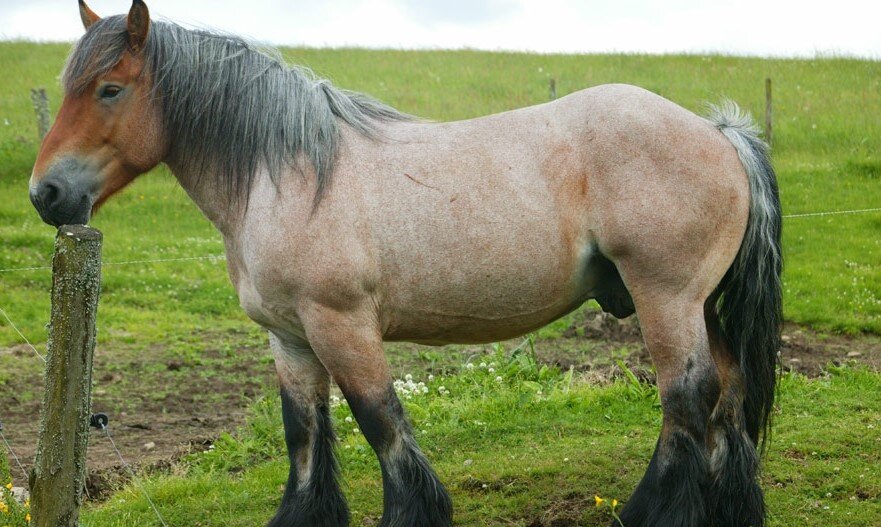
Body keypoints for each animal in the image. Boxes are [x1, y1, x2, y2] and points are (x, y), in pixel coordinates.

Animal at [29, 2, 784, 524]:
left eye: (109, 89)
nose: (46, 193)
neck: (291, 175)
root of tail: (722, 134)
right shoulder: (289, 337)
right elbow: (304, 431)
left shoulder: (341, 324)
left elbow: (378, 419)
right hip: (696, 303)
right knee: (728, 387)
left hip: (666, 297)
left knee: (687, 395)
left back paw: (649, 510)